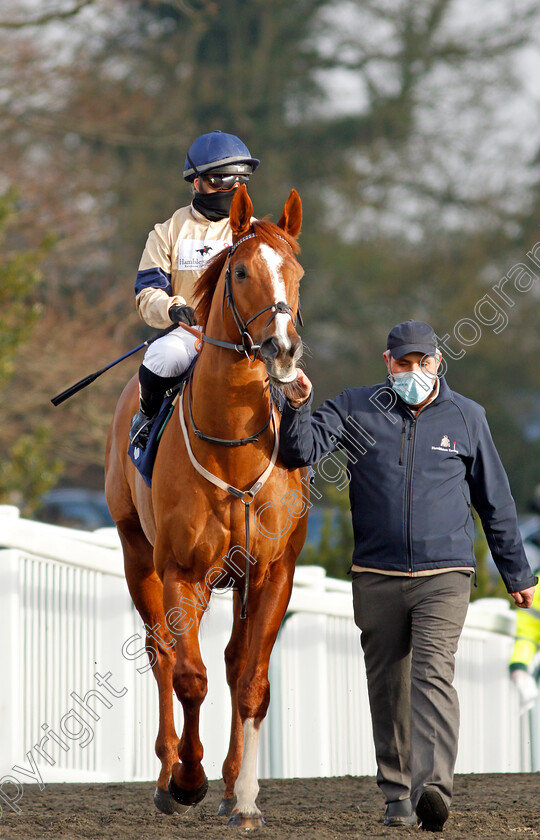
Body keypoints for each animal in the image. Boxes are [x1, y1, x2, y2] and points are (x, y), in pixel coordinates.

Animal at [104, 185, 308, 828]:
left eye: (296, 271)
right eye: (240, 271)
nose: (282, 348)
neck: (233, 451)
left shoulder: (272, 571)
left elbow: (250, 680)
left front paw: (242, 797)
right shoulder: (182, 570)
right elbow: (189, 677)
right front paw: (187, 780)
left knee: (233, 660)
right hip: (136, 556)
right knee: (162, 655)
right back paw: (169, 775)